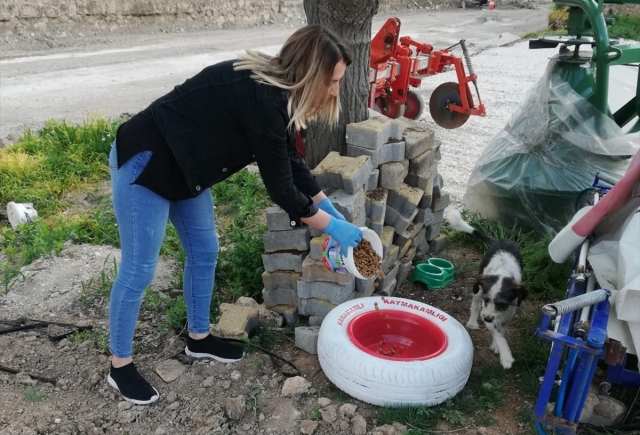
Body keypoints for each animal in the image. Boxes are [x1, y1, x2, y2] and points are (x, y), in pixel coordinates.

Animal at [444, 209, 528, 370]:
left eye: (502, 303)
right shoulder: (485, 305)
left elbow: (501, 330)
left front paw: (496, 345)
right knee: (475, 305)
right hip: (477, 290)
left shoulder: (508, 311)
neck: (503, 272)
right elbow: (497, 332)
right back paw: (472, 322)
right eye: (487, 300)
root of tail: (498, 240)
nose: (487, 319)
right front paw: (506, 356)